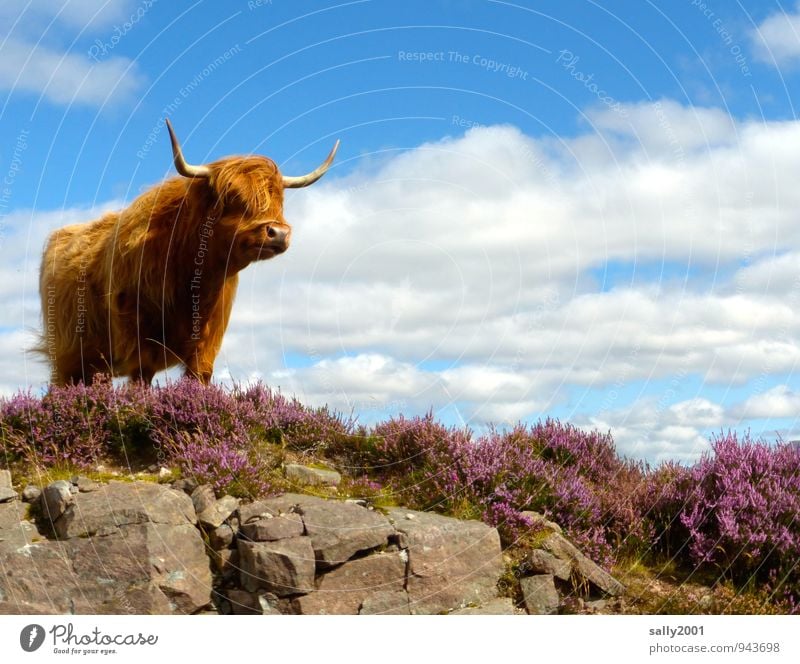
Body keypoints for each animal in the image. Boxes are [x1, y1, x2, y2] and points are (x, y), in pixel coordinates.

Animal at [38, 120, 338, 384]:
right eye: (231, 197)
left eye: (280, 199)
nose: (278, 233)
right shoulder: (139, 340)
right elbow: (141, 381)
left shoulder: (207, 345)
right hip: (68, 357)